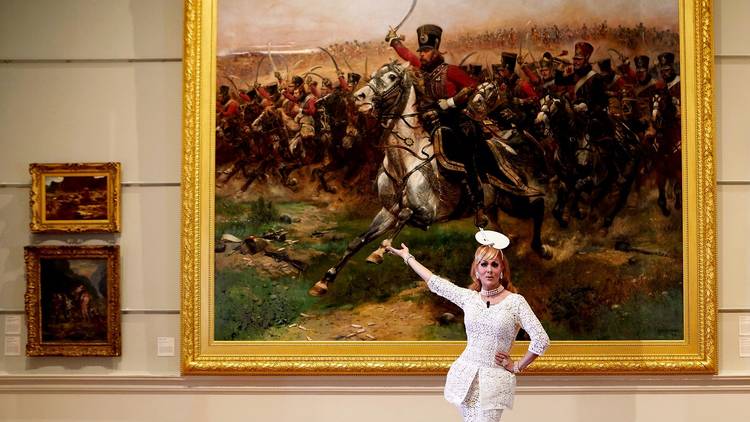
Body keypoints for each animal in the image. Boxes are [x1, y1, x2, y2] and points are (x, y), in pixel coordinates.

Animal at [306, 61, 552, 296]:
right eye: (375, 74)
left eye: (392, 77)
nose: (360, 97)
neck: (404, 161)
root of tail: (510, 144)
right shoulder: (387, 212)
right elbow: (357, 241)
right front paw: (323, 281)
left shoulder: (426, 213)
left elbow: (404, 216)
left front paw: (379, 252)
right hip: (500, 203)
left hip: (515, 195)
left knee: (538, 205)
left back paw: (542, 249)